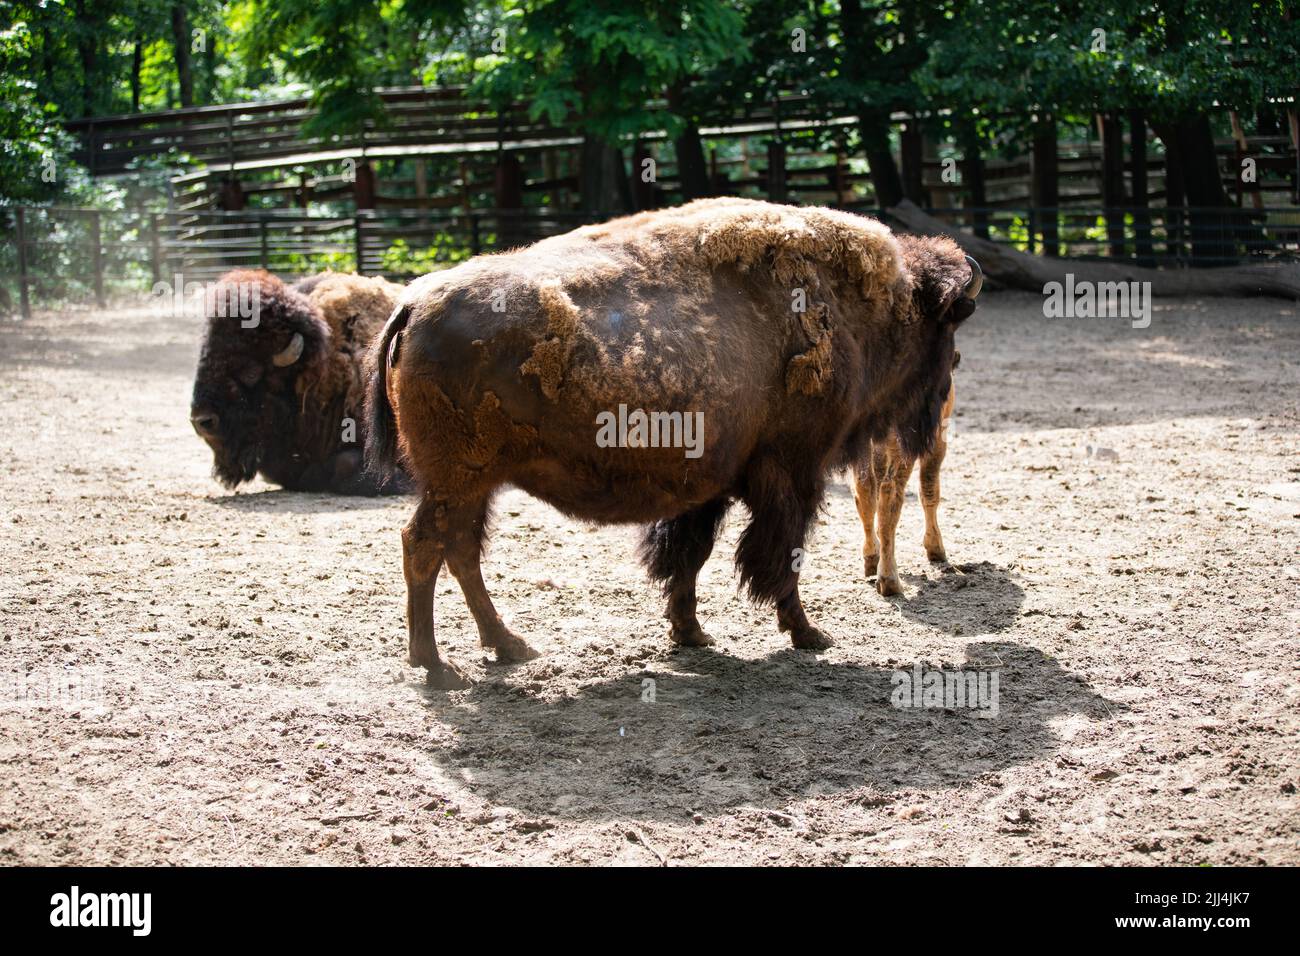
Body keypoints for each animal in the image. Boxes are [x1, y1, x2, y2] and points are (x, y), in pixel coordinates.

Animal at [857, 348, 961, 595]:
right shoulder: (937, 442)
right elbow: (930, 489)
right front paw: (936, 548)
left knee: (865, 493)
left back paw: (872, 558)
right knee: (889, 495)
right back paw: (889, 580)